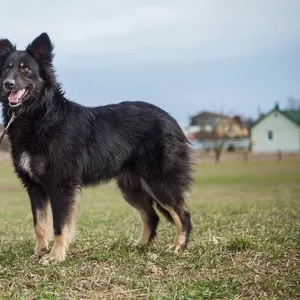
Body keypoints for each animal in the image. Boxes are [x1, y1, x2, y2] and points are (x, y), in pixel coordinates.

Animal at [0, 31, 193, 264]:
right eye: (7, 68)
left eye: (25, 69)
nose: (8, 84)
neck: (40, 115)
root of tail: (172, 120)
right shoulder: (34, 187)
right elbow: (40, 225)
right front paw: (38, 253)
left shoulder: (61, 185)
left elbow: (59, 225)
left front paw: (55, 256)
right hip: (132, 188)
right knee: (152, 216)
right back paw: (140, 246)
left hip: (159, 182)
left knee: (183, 215)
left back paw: (177, 248)